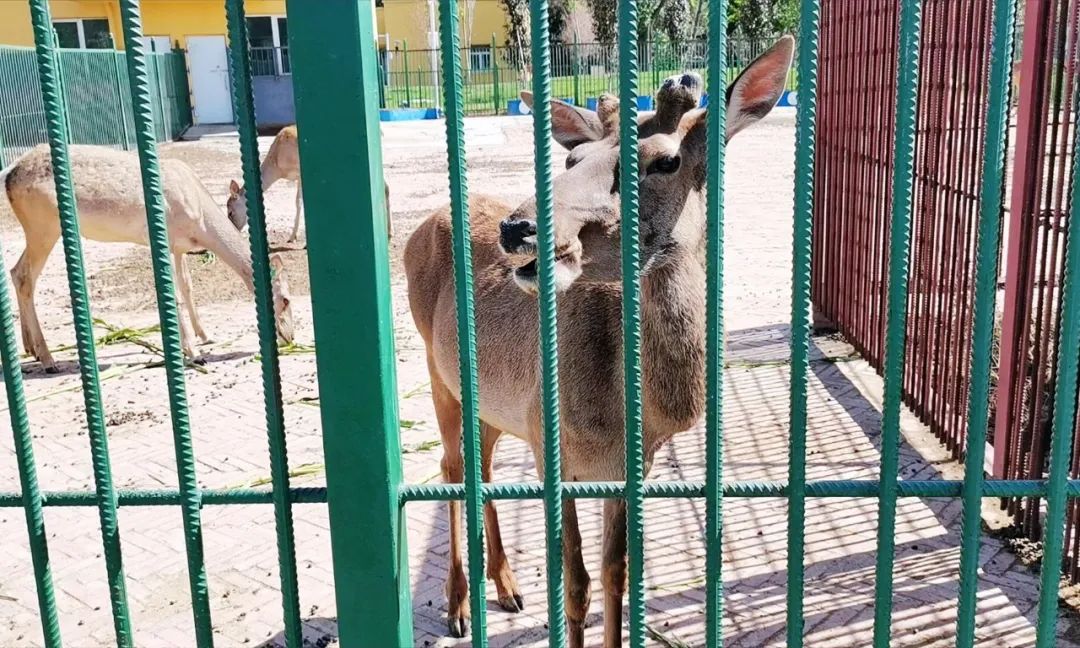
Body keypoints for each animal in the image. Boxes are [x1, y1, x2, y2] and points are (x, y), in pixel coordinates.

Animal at [4, 143, 295, 371]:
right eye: (285, 299)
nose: (290, 336)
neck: (200, 219)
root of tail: (9, 177)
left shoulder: (179, 247)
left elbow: (187, 286)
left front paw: (206, 335)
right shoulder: (162, 240)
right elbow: (174, 294)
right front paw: (195, 354)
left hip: (39, 230)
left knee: (17, 272)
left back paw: (31, 349)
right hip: (43, 226)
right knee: (24, 275)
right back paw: (48, 359)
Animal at [226, 123, 393, 240]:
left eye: (230, 212)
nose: (234, 230)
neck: (278, 165)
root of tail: (381, 132)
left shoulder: (300, 171)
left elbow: (299, 201)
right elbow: (299, 202)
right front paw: (292, 237)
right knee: (385, 187)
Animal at [406, 35, 794, 648]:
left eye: (666, 160)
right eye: (571, 160)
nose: (517, 228)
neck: (628, 412)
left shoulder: (631, 465)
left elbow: (617, 571)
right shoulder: (551, 446)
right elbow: (576, 581)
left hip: (495, 403)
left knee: (482, 465)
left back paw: (507, 586)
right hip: (434, 367)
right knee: (451, 466)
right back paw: (458, 604)